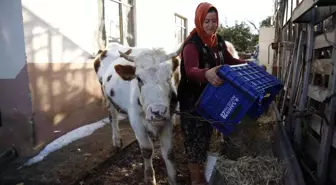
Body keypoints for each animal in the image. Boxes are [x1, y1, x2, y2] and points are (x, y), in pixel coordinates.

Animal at [93, 43, 182, 185]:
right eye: (139, 79)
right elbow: (147, 150)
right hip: (107, 97)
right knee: (113, 117)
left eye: (169, 78)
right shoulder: (136, 121)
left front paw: (173, 179)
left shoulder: (167, 119)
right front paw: (150, 178)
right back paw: (117, 140)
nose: (157, 111)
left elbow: (168, 153)